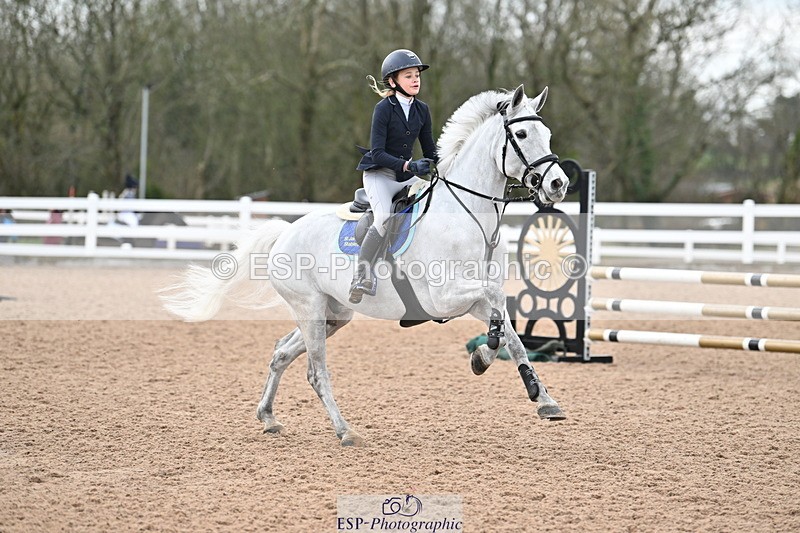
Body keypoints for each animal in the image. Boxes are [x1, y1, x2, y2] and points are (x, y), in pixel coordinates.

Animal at [160, 84, 570, 446]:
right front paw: (483, 356)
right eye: (521, 133)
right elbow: (498, 305)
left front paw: (543, 398)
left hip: (334, 315)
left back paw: (269, 418)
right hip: (310, 308)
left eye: (549, 134)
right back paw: (346, 432)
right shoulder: (444, 297)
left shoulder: (472, 300)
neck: (468, 215)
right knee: (316, 373)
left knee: (281, 353)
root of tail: (286, 232)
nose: (558, 184)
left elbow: (512, 334)